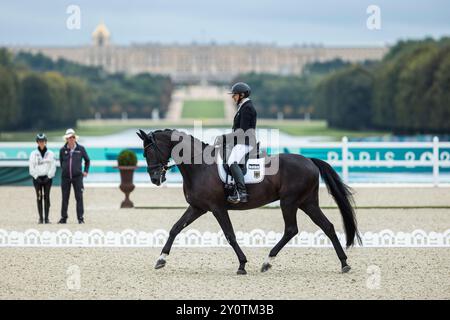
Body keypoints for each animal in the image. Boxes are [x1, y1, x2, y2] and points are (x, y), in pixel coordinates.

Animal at [137, 129, 362, 274]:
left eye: (149, 151)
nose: (155, 178)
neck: (200, 165)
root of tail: (309, 160)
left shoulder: (217, 208)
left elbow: (230, 235)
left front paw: (242, 265)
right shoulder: (198, 207)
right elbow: (175, 228)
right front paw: (161, 259)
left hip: (289, 202)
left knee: (291, 229)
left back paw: (267, 262)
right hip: (307, 203)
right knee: (327, 226)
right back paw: (344, 263)